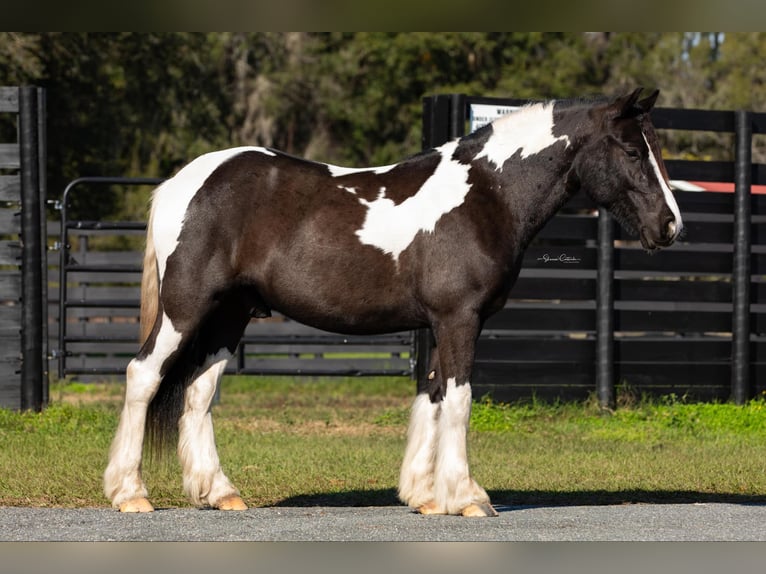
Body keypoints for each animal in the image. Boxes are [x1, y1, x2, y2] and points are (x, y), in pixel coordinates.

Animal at [103, 89, 684, 516]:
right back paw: (131, 494)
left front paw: (425, 496)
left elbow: (433, 396)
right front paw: (467, 497)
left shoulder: (441, 322)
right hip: (187, 308)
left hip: (229, 315)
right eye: (634, 152)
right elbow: (460, 400)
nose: (671, 225)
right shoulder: (459, 319)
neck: (486, 193)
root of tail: (182, 182)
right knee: (144, 375)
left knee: (199, 392)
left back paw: (221, 493)